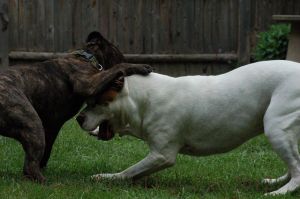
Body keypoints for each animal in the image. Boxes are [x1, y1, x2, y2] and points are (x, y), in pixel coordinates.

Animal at [0, 30, 151, 182]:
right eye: (118, 54)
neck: (88, 58)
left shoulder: (52, 126)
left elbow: (47, 150)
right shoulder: (88, 83)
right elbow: (117, 68)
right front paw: (138, 66)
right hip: (32, 124)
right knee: (29, 166)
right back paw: (45, 181)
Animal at [77, 60, 300, 194]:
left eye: (95, 102)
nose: (78, 118)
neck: (142, 99)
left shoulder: (161, 155)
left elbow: (129, 171)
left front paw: (107, 178)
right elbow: (135, 172)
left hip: (276, 127)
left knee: (297, 170)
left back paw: (280, 192)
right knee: (294, 164)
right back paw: (275, 182)